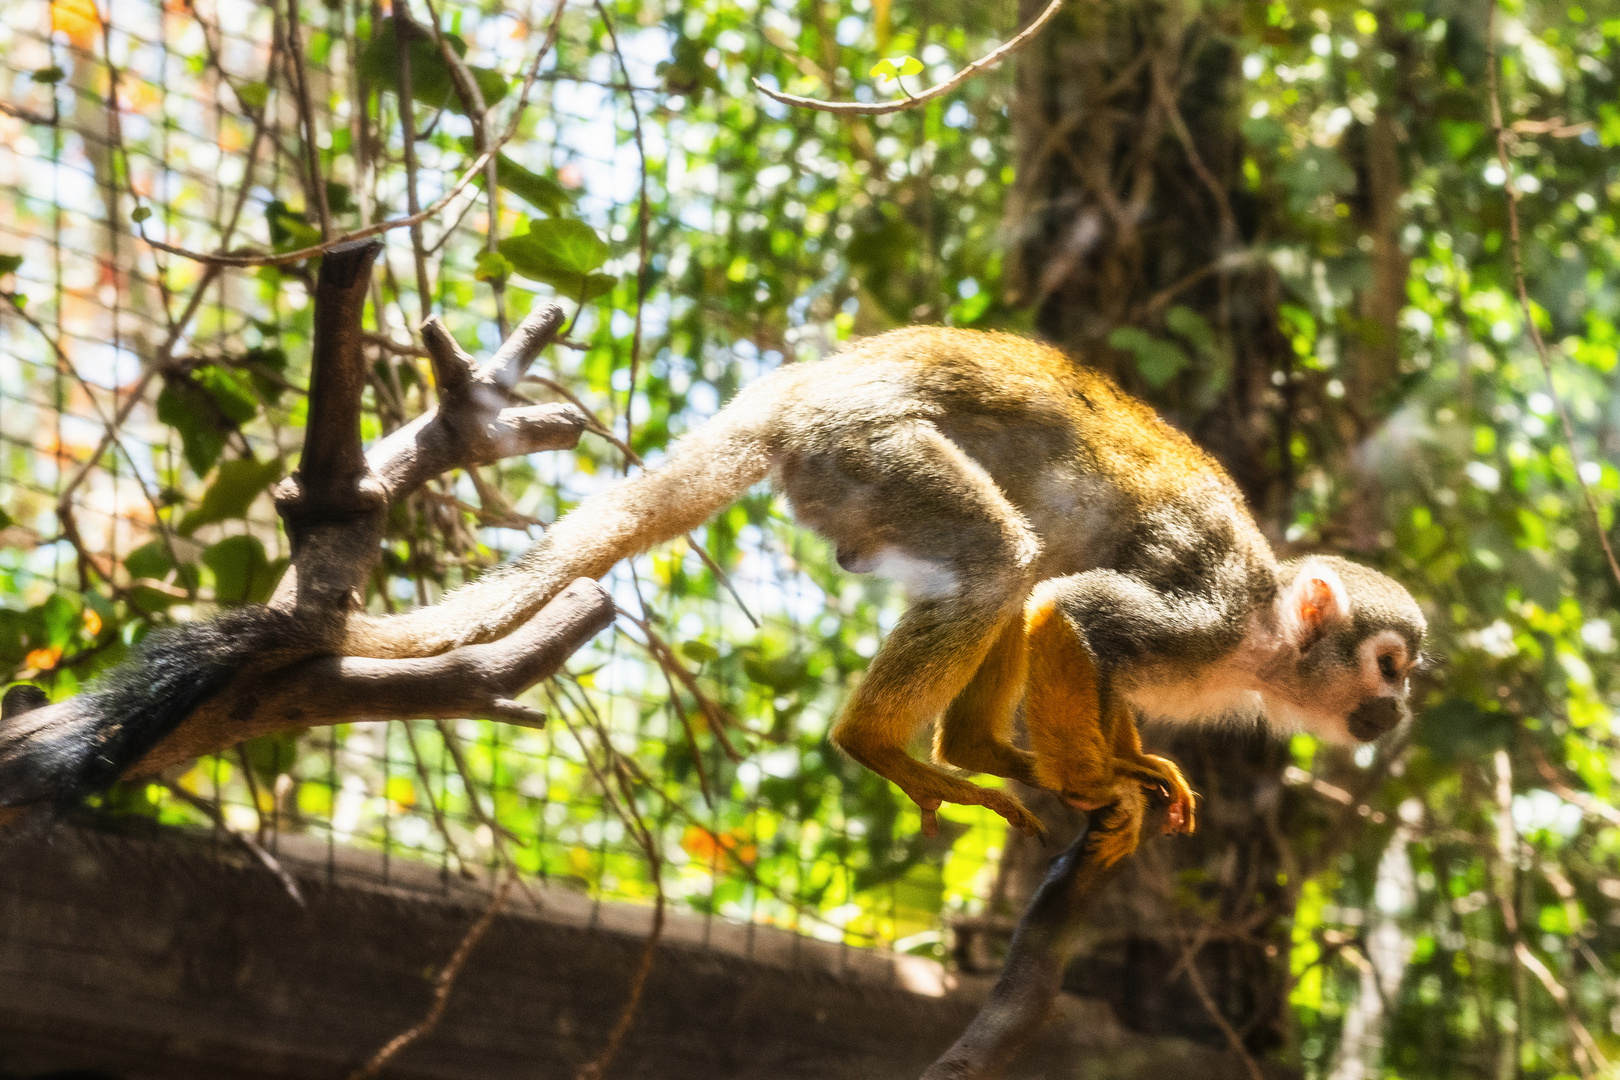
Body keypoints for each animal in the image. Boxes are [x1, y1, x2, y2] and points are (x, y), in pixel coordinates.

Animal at [0, 325, 1425, 867]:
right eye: (1392, 667)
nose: (1399, 718)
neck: (1258, 642)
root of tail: (797, 388)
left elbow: (1063, 627)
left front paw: (1129, 766)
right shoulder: (1213, 604)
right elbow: (1071, 614)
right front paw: (1100, 781)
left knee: (1005, 575)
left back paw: (969, 746)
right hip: (870, 449)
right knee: (1010, 565)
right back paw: (892, 744)